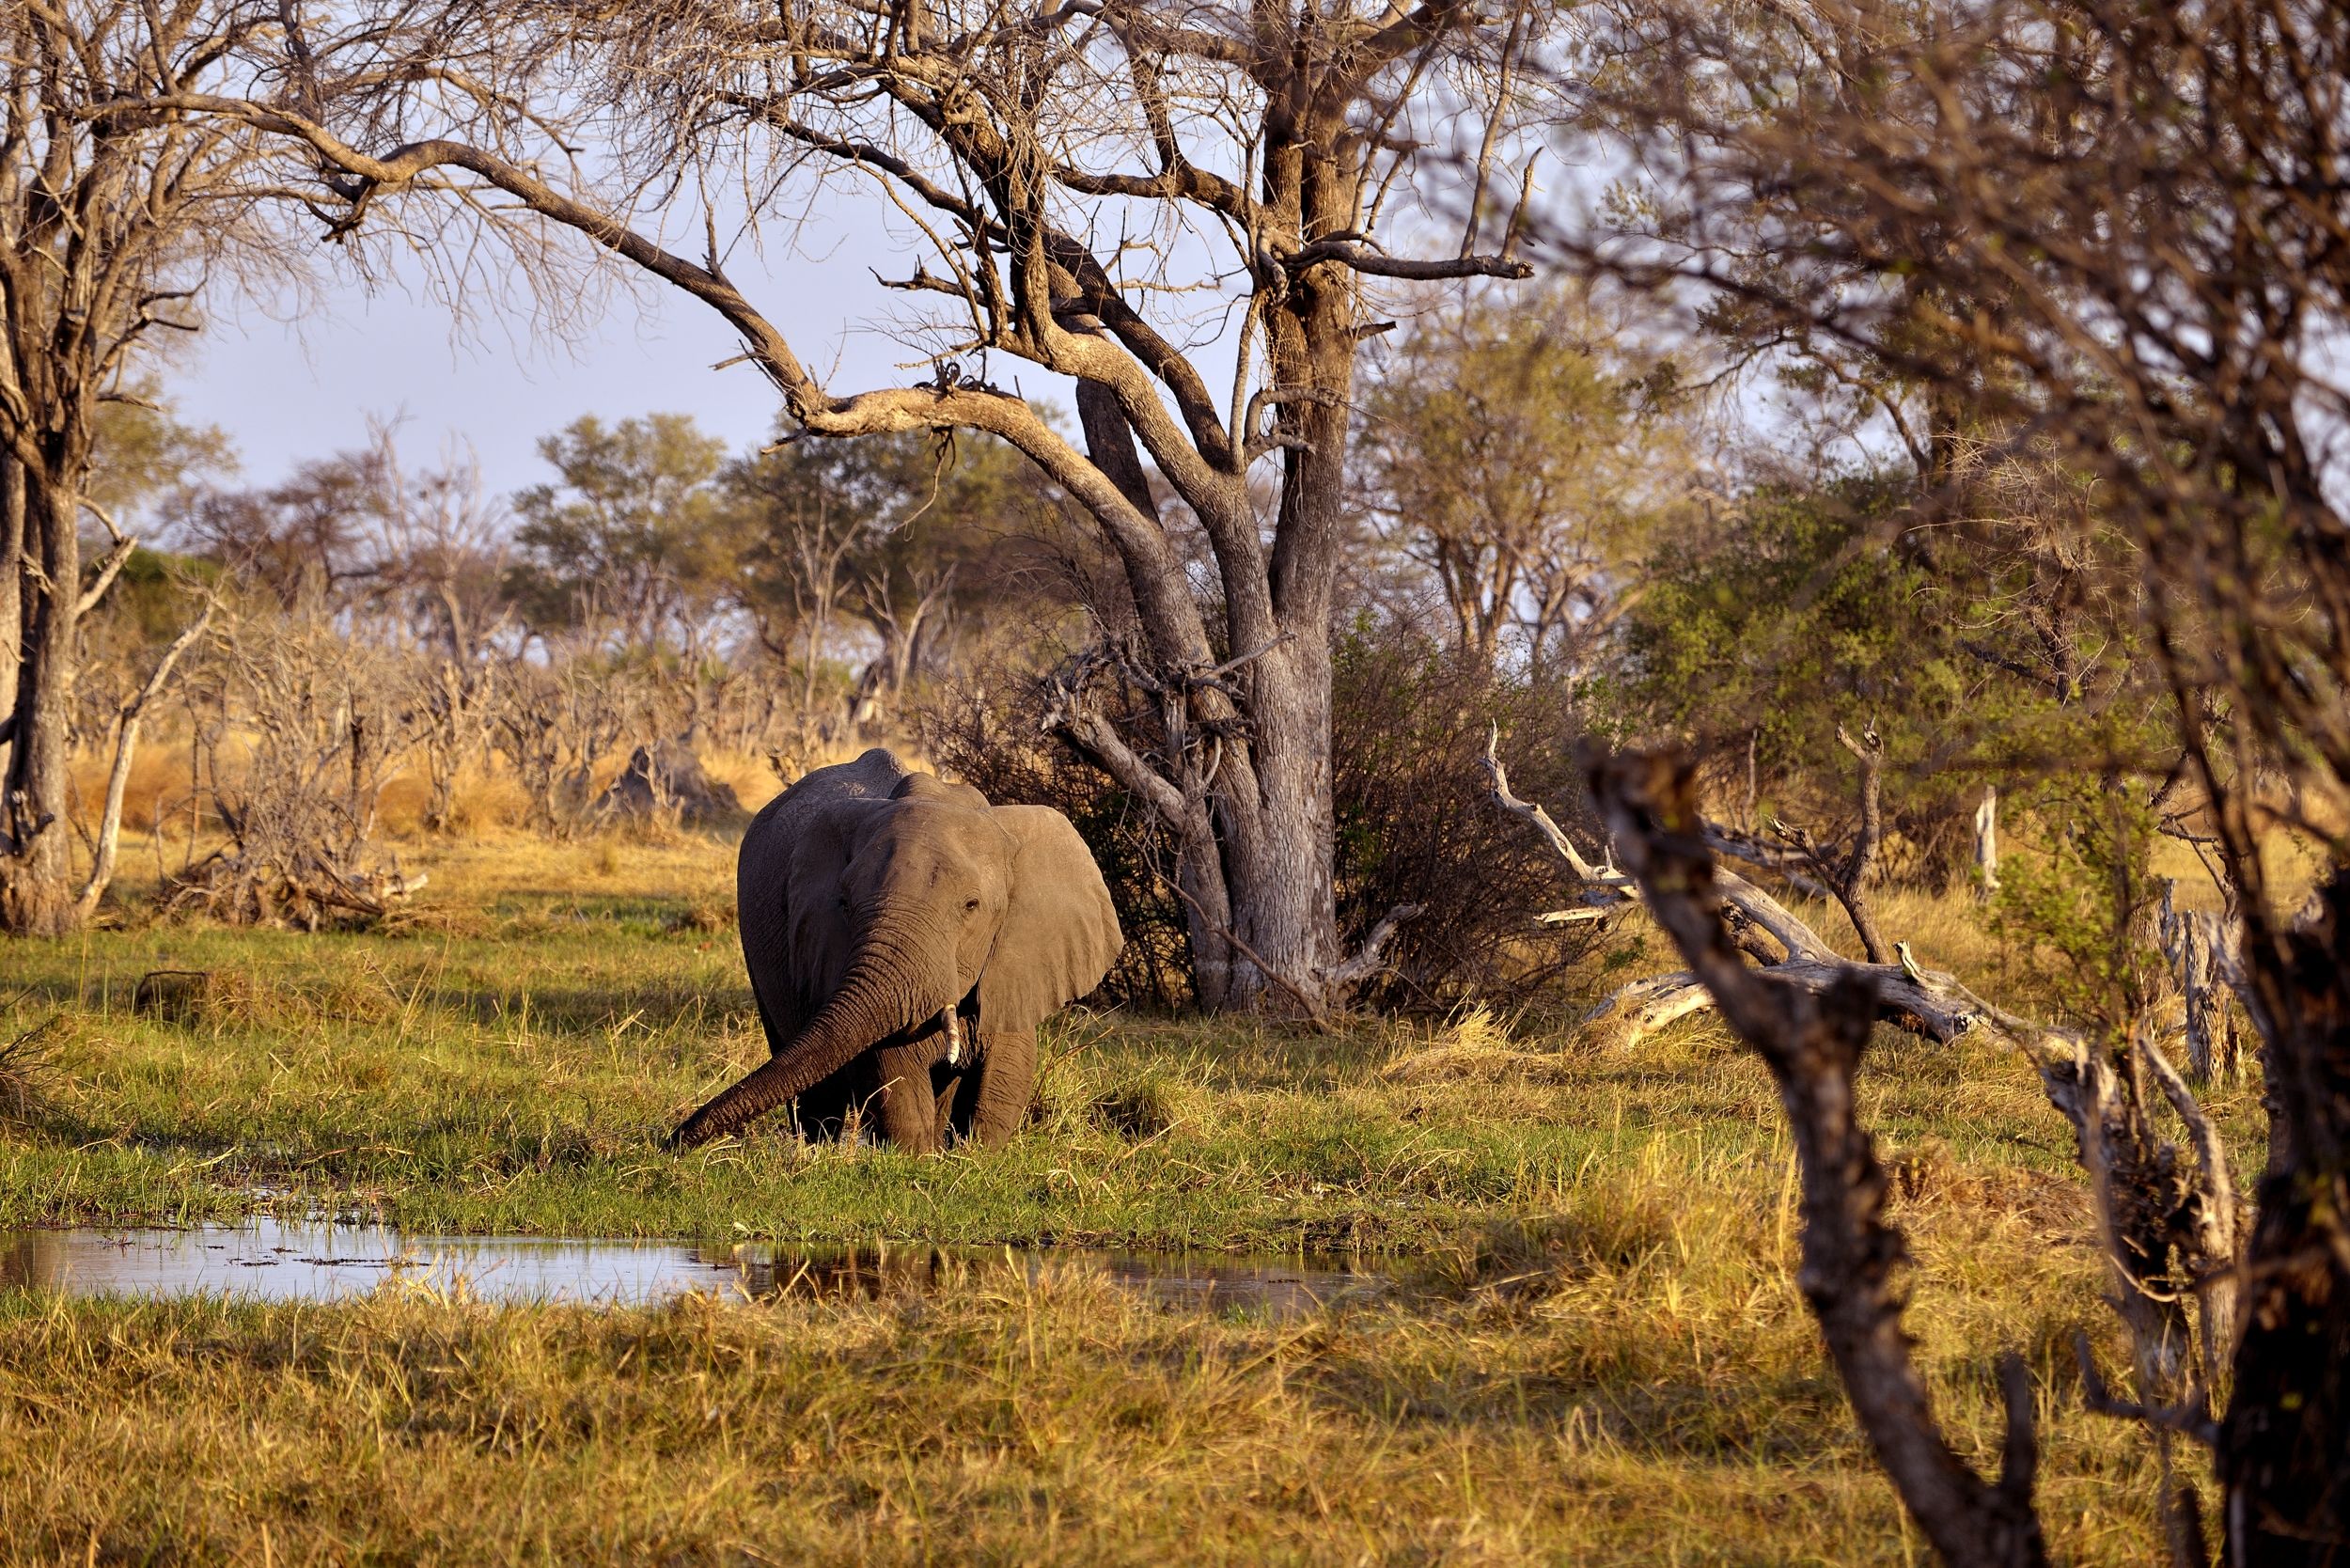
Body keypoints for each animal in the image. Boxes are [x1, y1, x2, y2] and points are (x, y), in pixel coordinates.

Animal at [670, 748, 1121, 1152]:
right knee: (813, 1085)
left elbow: (1004, 1077)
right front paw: (915, 1159)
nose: (672, 1140)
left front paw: (974, 1157)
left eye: (971, 906)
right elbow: (892, 1073)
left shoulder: (1016, 957)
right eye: (845, 904)